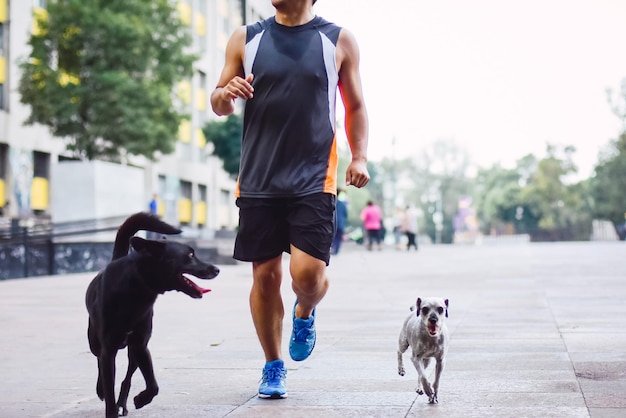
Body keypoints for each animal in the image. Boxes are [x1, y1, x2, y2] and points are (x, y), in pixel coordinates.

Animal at [85, 214, 217, 416]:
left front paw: (141, 399)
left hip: (132, 351)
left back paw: (122, 404)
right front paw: (110, 403)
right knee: (100, 362)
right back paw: (102, 391)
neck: (136, 289)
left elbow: (153, 385)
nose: (217, 269)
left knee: (127, 377)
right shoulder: (109, 349)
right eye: (190, 255)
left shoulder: (140, 346)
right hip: (95, 342)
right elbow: (108, 388)